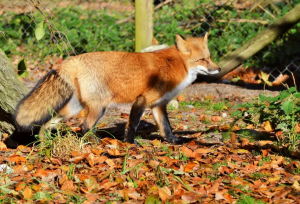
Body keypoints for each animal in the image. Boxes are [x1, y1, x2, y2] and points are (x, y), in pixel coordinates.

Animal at [14, 33, 219, 143]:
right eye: (203, 60)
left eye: (210, 57)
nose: (218, 69)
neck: (175, 65)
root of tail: (71, 60)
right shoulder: (142, 99)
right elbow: (132, 124)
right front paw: (130, 143)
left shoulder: (158, 105)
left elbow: (166, 128)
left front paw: (175, 142)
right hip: (100, 107)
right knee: (85, 127)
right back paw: (99, 143)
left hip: (73, 108)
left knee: (50, 122)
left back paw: (44, 141)